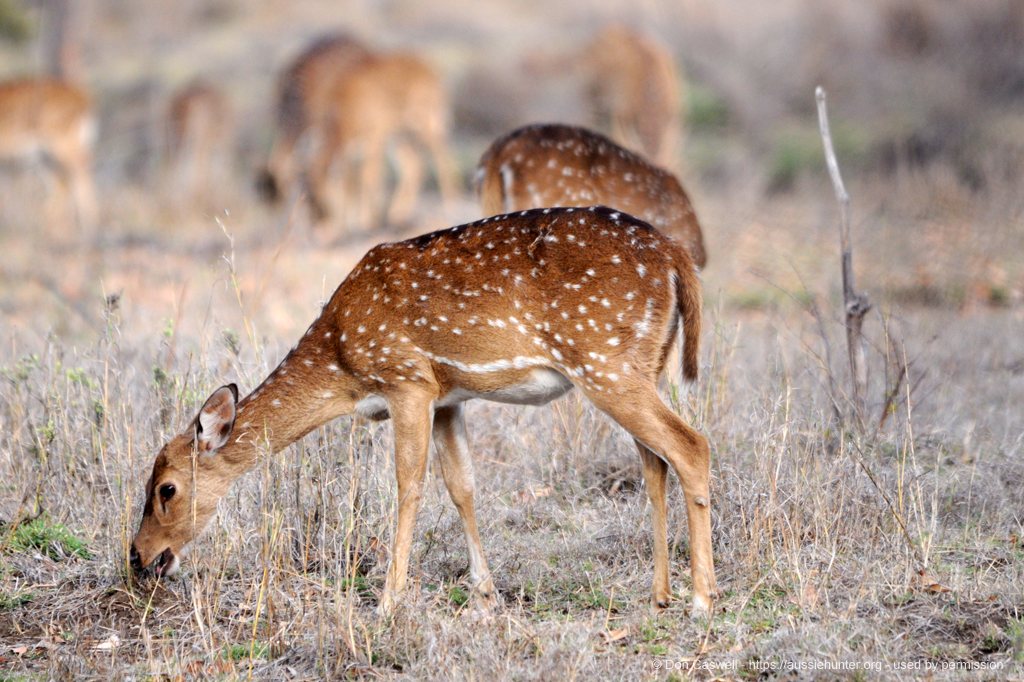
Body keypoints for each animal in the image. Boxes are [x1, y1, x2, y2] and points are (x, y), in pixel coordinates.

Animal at [0, 75, 96, 227]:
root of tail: (81, 96)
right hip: (44, 156)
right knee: (62, 180)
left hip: (62, 146)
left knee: (79, 169)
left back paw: (89, 221)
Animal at [132, 204, 716, 614]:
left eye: (167, 489)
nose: (138, 557)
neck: (344, 364)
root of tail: (676, 257)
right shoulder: (447, 397)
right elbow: (462, 485)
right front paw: (485, 594)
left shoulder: (407, 380)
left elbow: (409, 483)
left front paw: (389, 601)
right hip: (642, 364)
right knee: (654, 461)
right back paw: (660, 593)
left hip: (604, 362)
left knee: (692, 445)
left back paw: (702, 599)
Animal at [299, 51, 452, 231]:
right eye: (305, 195)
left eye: (319, 191)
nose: (317, 222)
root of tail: (427, 67)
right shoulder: (352, 152)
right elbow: (349, 184)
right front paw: (349, 223)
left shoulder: (376, 136)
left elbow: (370, 176)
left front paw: (366, 221)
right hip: (401, 137)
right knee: (414, 166)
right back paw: (397, 214)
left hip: (426, 127)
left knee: (442, 158)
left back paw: (450, 203)